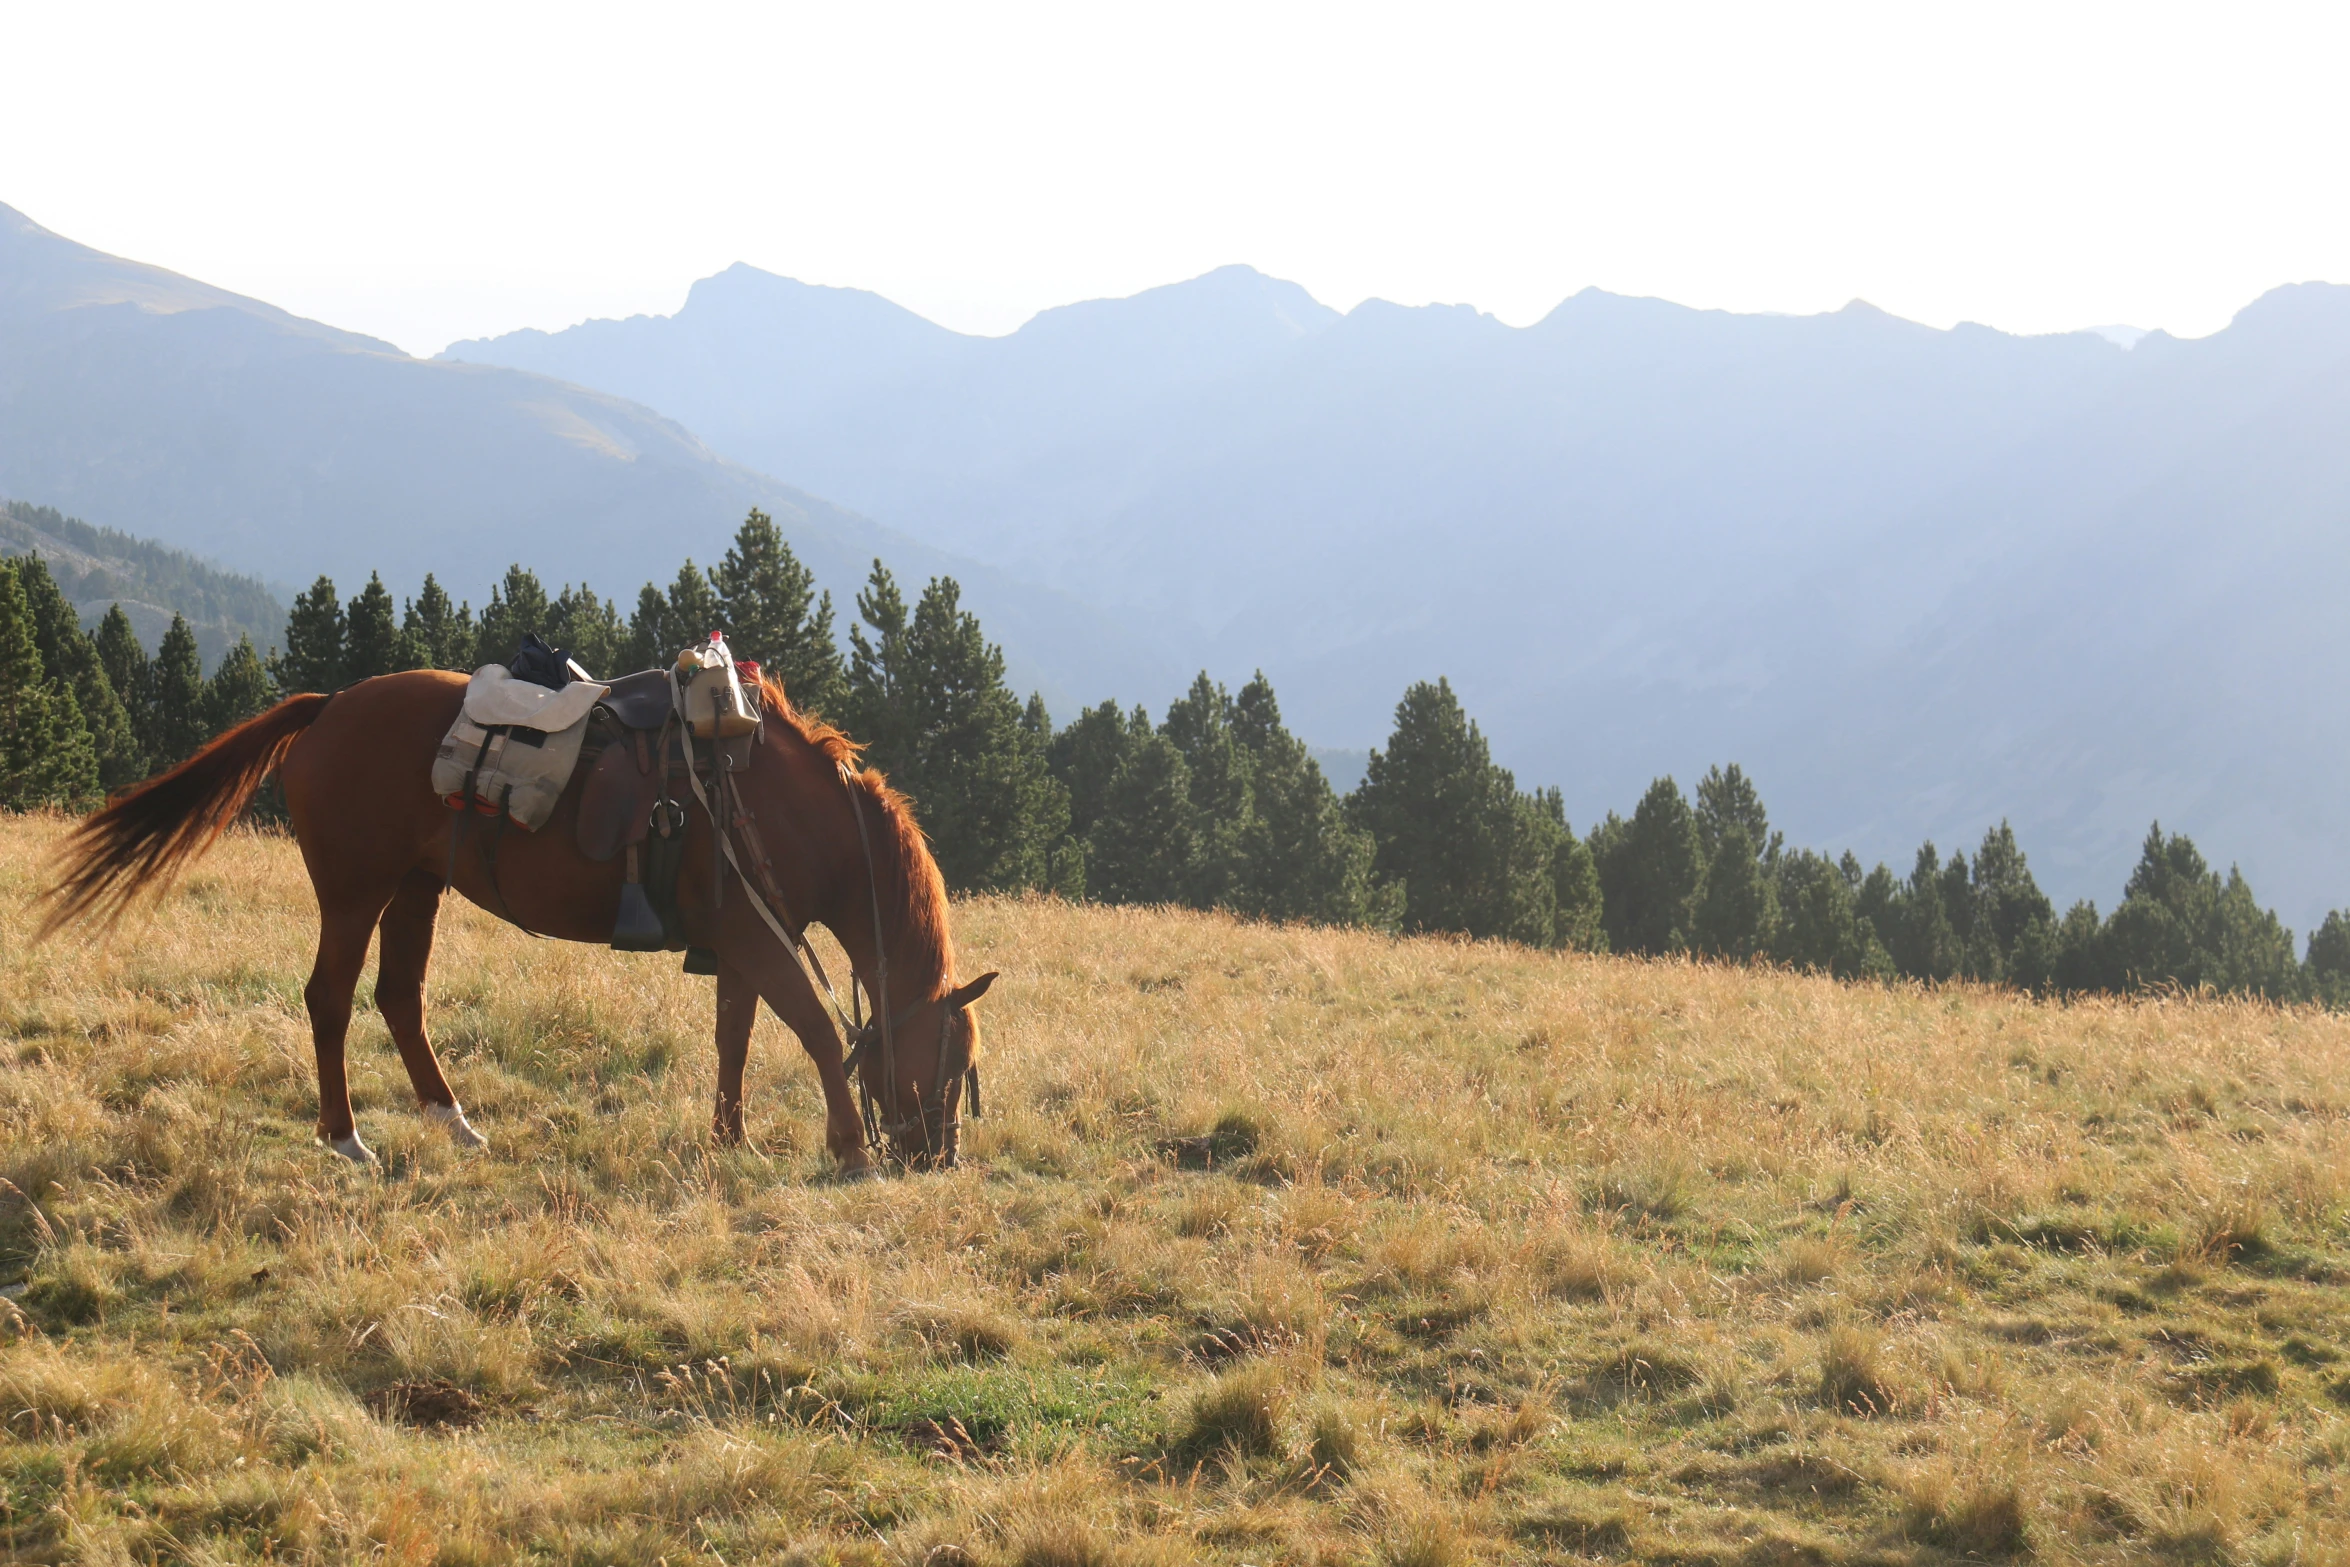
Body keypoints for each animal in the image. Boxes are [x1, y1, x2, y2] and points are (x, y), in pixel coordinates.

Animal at [36, 671, 991, 1174]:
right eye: (951, 1061)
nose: (935, 1156)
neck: (778, 804)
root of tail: (331, 704)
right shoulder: (756, 937)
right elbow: (817, 1033)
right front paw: (848, 1148)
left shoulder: (740, 943)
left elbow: (736, 1039)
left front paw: (729, 1139)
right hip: (354, 889)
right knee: (331, 998)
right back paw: (346, 1138)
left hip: (416, 887)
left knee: (399, 997)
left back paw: (452, 1118)